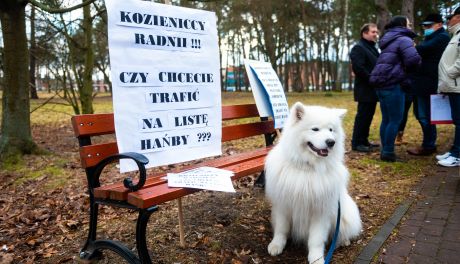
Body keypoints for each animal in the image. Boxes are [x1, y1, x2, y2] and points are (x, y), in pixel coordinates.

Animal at [264, 102, 362, 262]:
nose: (331, 142)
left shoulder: (320, 211)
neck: (309, 169)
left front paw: (316, 259)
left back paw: (343, 241)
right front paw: (276, 245)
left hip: (344, 214)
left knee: (342, 231)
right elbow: (281, 229)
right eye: (315, 129)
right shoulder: (283, 205)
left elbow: (316, 239)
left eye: (331, 130)